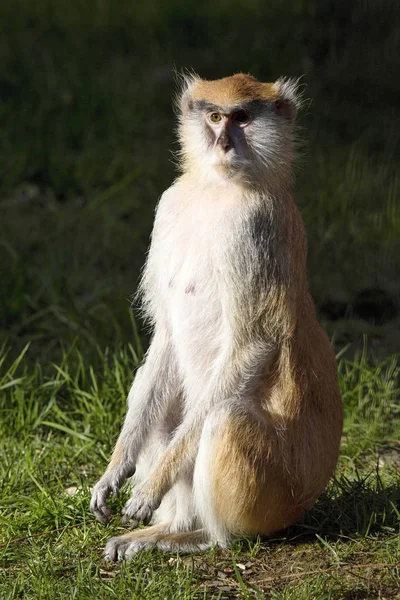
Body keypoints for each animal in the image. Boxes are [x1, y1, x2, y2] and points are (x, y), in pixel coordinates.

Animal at [90, 72, 344, 560]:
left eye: (241, 117)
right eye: (213, 116)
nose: (223, 143)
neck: (216, 188)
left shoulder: (255, 228)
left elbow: (253, 345)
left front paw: (150, 486)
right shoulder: (170, 205)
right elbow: (167, 336)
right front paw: (115, 469)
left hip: (271, 496)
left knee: (225, 418)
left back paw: (206, 537)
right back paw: (168, 528)